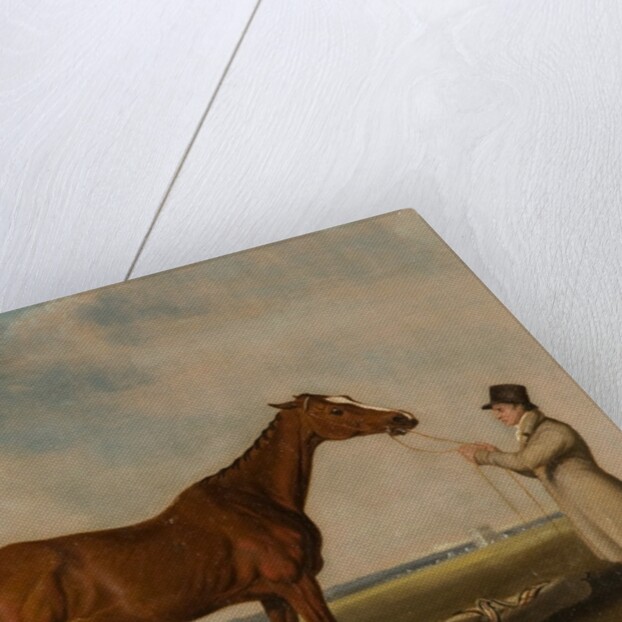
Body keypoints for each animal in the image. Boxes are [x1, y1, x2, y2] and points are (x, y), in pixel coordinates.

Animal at [0, 393, 417, 622]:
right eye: (335, 412)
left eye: (348, 398)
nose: (403, 417)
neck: (254, 501)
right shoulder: (297, 583)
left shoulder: (271, 595)